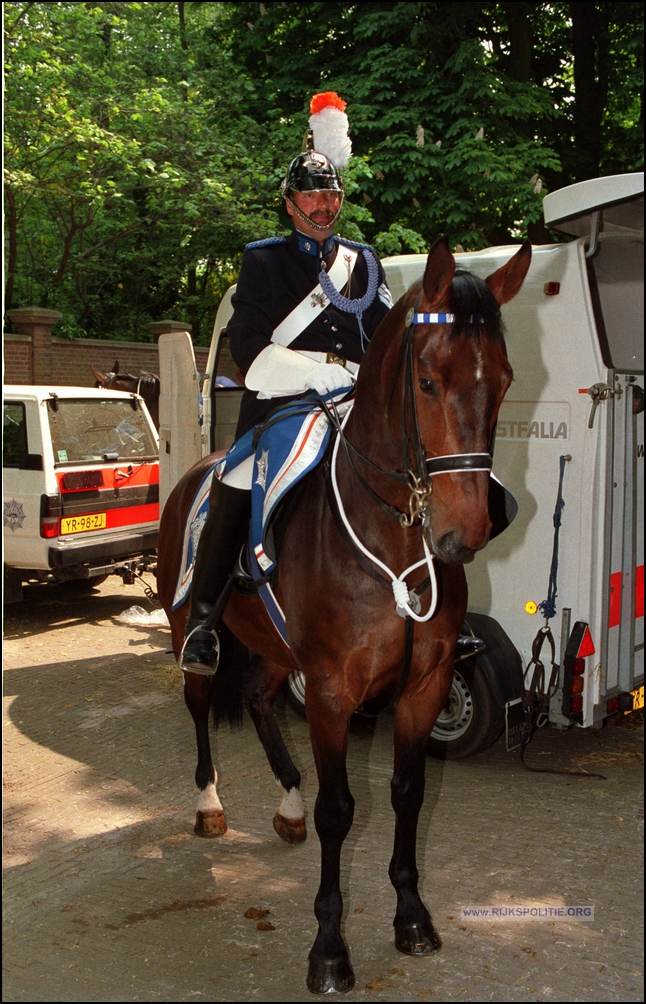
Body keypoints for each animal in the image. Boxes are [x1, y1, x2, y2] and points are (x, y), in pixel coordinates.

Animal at [156, 236, 530, 995]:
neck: (391, 535)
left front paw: (411, 917)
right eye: (427, 380)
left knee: (260, 697)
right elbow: (341, 811)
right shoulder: (331, 692)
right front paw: (329, 949)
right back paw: (210, 805)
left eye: (504, 379)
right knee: (202, 703)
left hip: (275, 648)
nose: (466, 532)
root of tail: (196, 469)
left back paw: (287, 804)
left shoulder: (424, 687)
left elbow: (409, 793)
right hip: (193, 634)